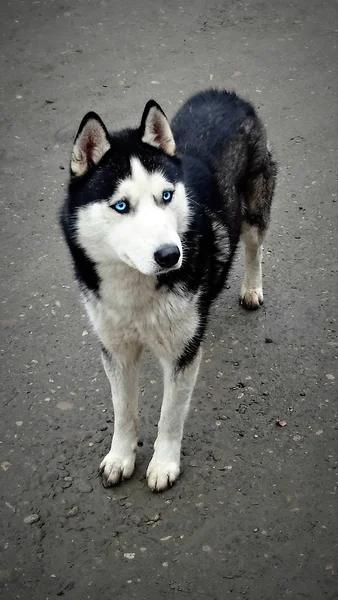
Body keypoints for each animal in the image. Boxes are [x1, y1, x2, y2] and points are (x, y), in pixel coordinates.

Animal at [60, 90, 278, 492]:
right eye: (121, 205)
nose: (170, 255)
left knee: (254, 246)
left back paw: (252, 287)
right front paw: (121, 456)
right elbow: (123, 410)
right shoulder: (116, 351)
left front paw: (164, 463)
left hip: (255, 208)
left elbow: (170, 415)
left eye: (166, 196)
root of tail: (222, 93)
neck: (135, 292)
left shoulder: (182, 354)